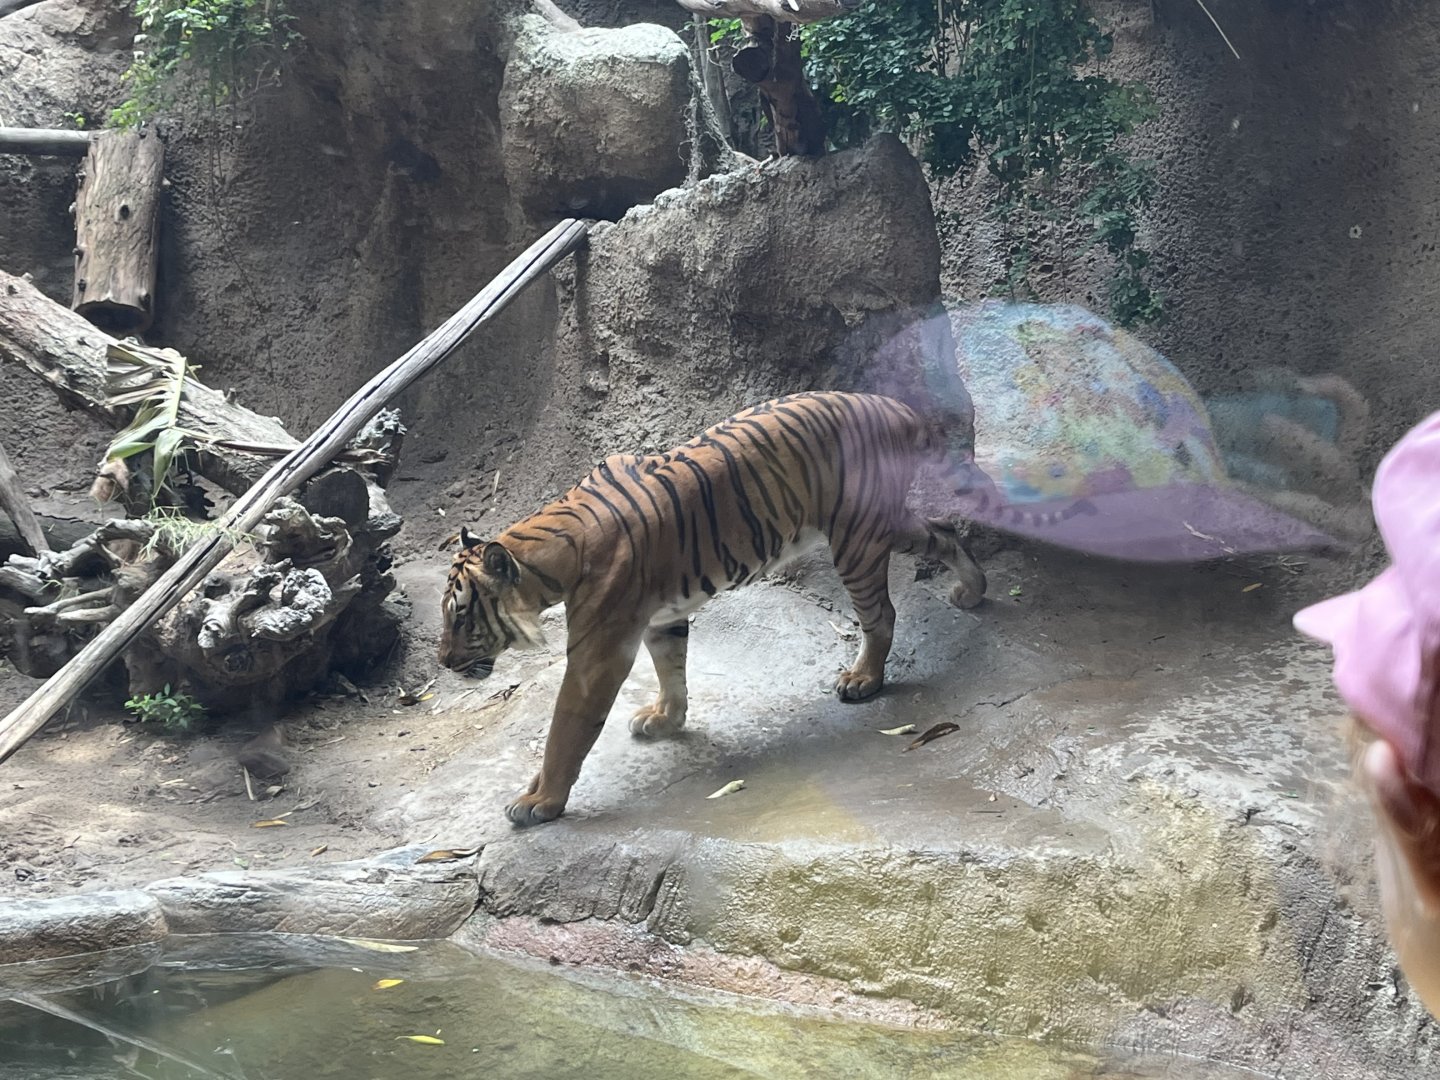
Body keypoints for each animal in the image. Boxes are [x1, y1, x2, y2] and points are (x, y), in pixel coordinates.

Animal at [438, 390, 992, 827]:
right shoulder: (660, 619)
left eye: (462, 615)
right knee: (942, 532)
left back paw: (864, 679)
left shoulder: (597, 655)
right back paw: (973, 589)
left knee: (883, 614)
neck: (549, 558)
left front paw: (540, 801)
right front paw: (666, 720)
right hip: (881, 525)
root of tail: (896, 407)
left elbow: (564, 732)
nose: (443, 662)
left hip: (856, 541)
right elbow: (671, 671)